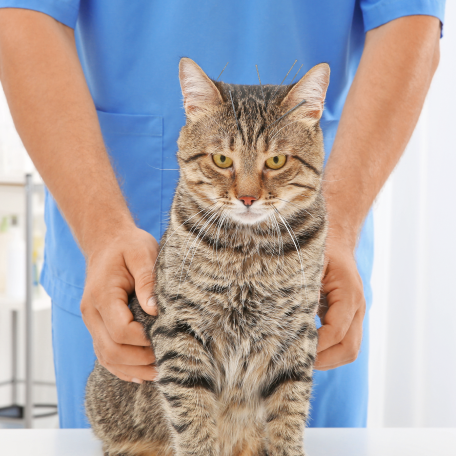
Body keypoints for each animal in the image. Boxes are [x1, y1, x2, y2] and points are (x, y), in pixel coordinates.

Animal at [84, 58, 328, 456]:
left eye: (276, 161)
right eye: (221, 159)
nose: (247, 198)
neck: (248, 254)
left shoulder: (295, 337)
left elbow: (288, 418)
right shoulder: (181, 331)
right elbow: (193, 420)